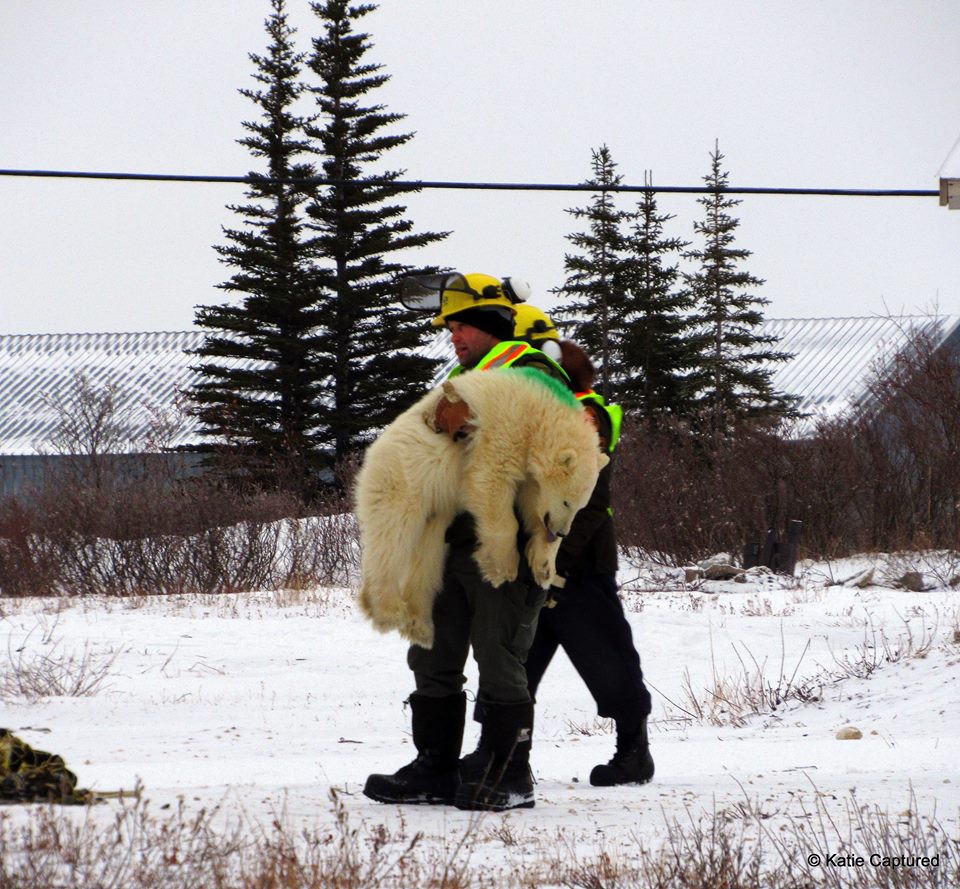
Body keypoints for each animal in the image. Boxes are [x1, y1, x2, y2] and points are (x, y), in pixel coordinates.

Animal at [354, 366, 609, 649]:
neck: (537, 410)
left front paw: (544, 567)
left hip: (436, 511)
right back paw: (387, 611)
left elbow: (532, 504)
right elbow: (489, 482)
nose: (562, 531)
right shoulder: (501, 430)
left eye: (581, 506)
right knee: (393, 535)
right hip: (404, 477)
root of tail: (372, 453)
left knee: (428, 555)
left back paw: (421, 628)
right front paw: (501, 569)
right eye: (567, 501)